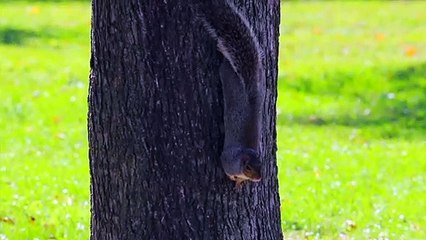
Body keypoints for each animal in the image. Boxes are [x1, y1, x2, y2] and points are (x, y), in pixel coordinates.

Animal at [191, 0, 264, 186]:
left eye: (262, 165)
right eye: (248, 167)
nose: (259, 178)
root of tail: (249, 87)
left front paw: (240, 182)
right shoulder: (227, 160)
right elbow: (229, 171)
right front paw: (235, 179)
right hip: (227, 76)